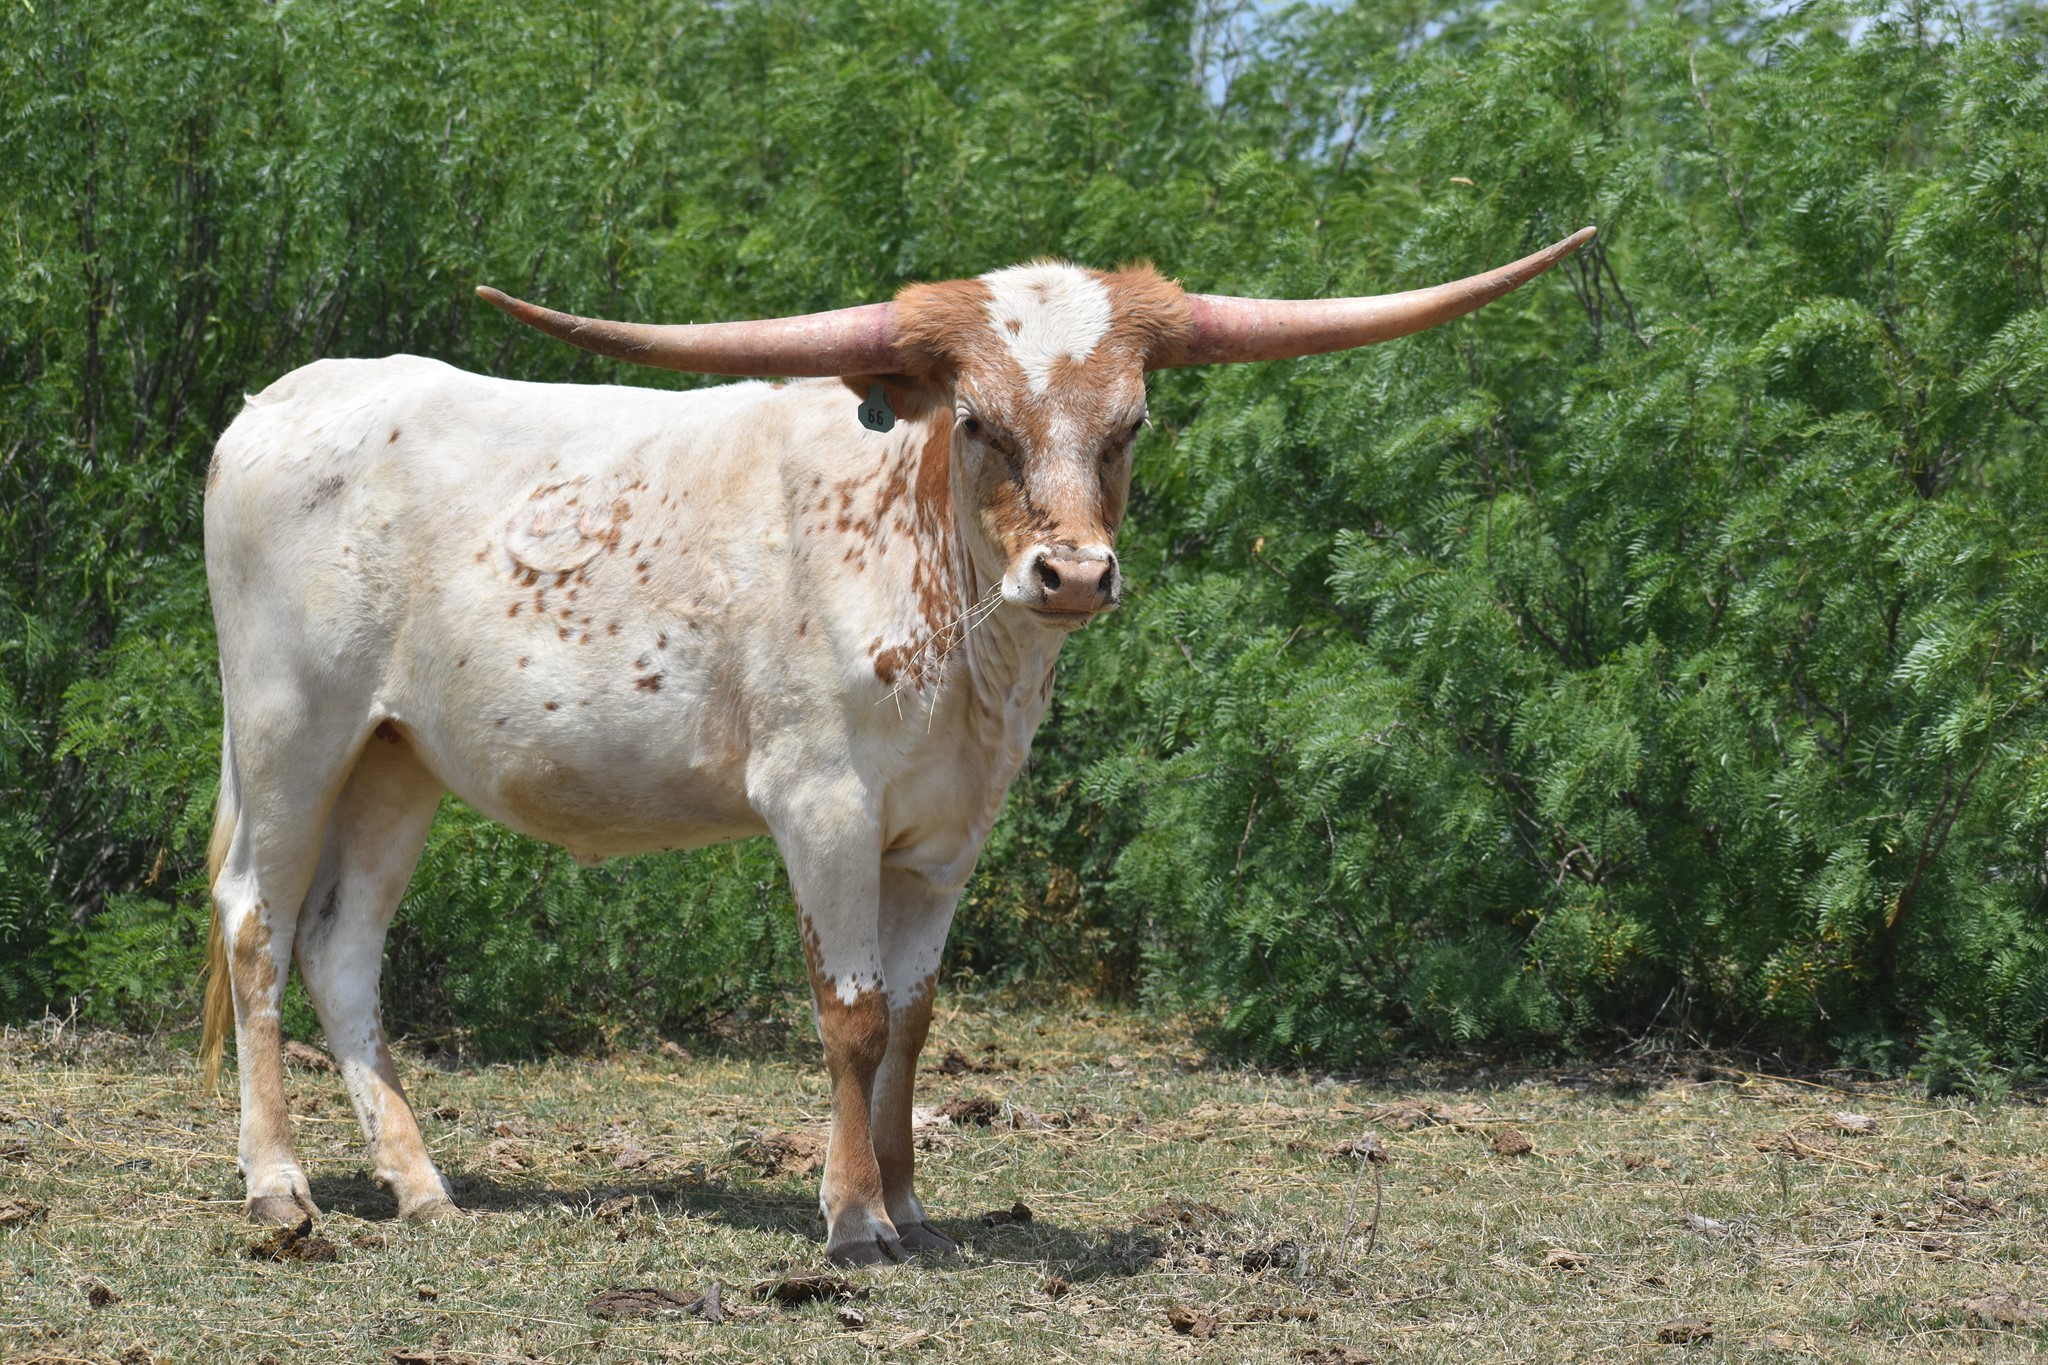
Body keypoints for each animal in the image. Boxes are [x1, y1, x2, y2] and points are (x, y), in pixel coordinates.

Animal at [198, 227, 1592, 1265]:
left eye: (1133, 421)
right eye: (974, 419)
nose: (1072, 574)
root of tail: (280, 402)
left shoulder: (947, 835)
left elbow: (917, 1017)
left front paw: (911, 1202)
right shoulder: (819, 804)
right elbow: (853, 1013)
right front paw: (854, 1217)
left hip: (397, 759)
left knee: (344, 950)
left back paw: (420, 1185)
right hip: (289, 729)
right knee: (256, 926)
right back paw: (279, 1188)